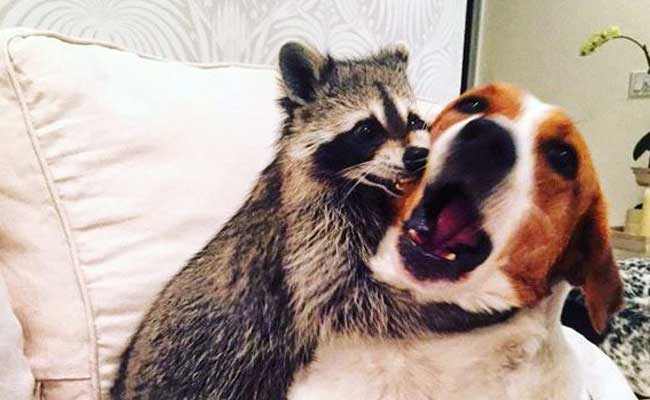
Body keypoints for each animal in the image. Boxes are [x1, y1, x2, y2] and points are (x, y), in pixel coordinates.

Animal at [111, 42, 431, 400]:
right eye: (366, 129)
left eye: (414, 120)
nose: (417, 157)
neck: (365, 188)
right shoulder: (312, 224)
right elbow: (343, 295)